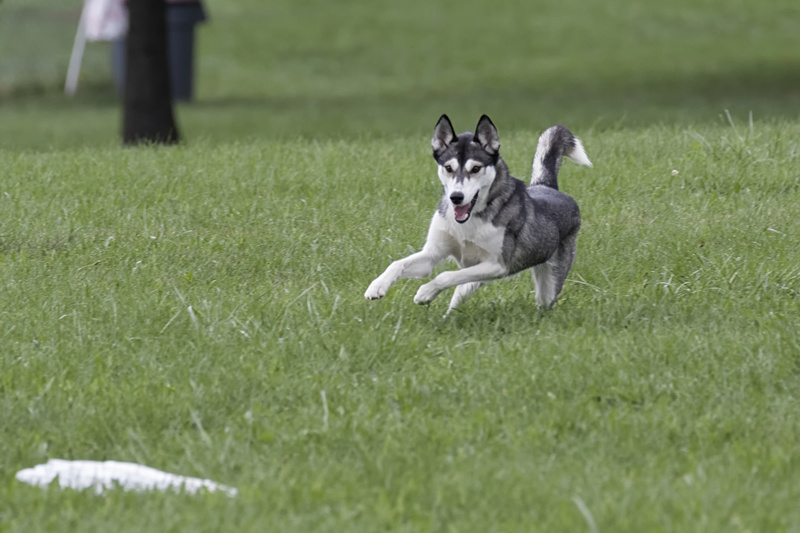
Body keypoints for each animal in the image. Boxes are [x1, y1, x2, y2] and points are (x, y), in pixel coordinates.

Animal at [366, 112, 592, 312]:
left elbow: (445, 275)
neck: (468, 222)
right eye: (448, 168)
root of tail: (547, 187)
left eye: (475, 168)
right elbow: (397, 264)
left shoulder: (497, 265)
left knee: (543, 302)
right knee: (461, 292)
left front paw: (425, 293)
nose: (456, 197)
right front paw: (376, 286)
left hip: (548, 284)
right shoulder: (432, 254)